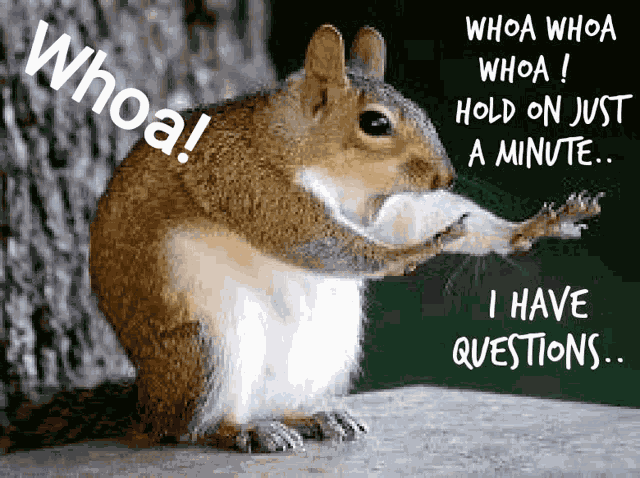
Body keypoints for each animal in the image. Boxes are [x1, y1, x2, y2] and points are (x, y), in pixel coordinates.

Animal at [2, 24, 602, 454]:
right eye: (375, 123)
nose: (443, 176)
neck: (302, 147)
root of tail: (148, 405)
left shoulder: (377, 205)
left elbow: (412, 215)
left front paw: (528, 228)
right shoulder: (245, 179)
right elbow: (308, 237)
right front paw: (411, 253)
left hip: (321, 355)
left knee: (277, 404)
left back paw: (313, 415)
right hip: (206, 349)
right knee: (186, 430)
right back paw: (240, 431)